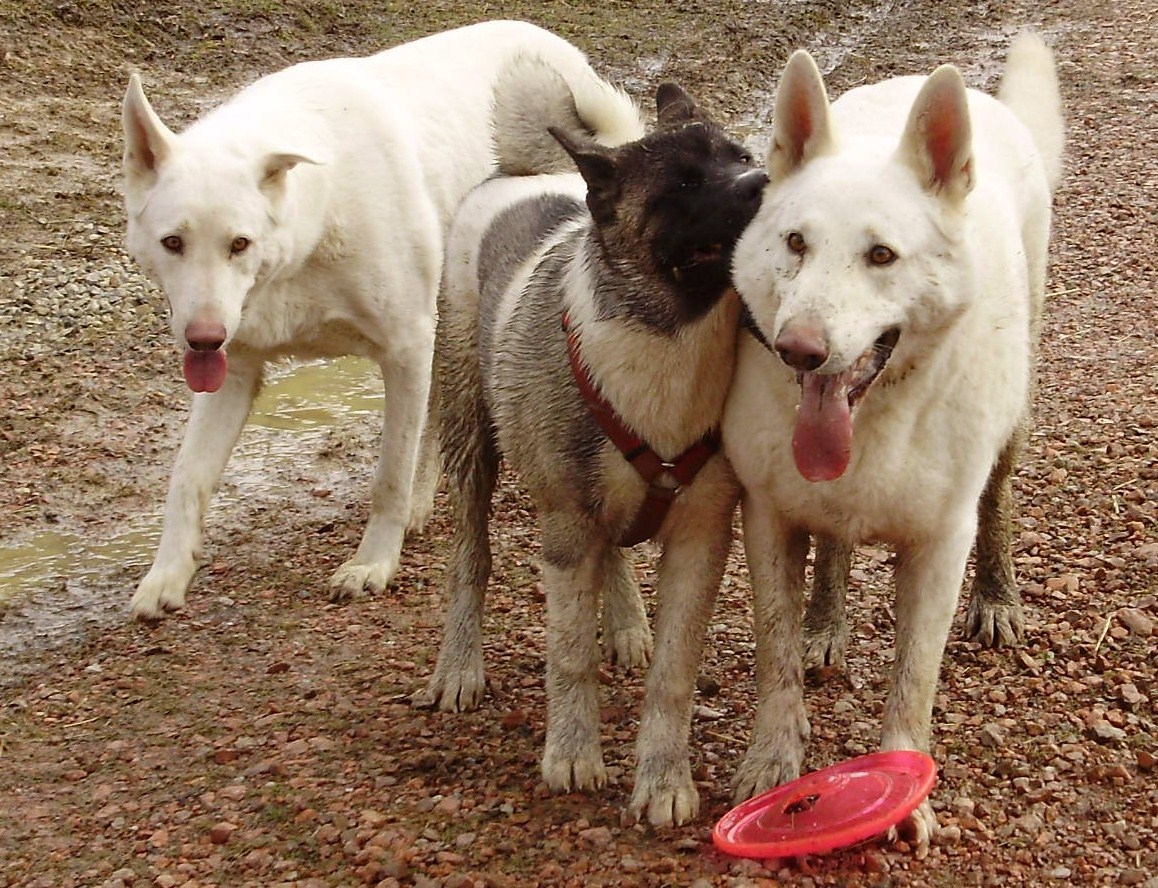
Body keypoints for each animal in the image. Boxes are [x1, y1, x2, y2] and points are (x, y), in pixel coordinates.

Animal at [121, 19, 639, 620]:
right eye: (172, 243)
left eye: (239, 244)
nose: (202, 339)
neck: (311, 224)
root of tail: (549, 40)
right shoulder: (237, 367)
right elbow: (188, 477)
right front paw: (167, 574)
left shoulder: (405, 348)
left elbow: (389, 473)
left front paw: (373, 563)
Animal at [414, 55, 768, 828]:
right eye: (682, 184)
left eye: (741, 156)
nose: (765, 181)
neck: (668, 335)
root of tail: (525, 175)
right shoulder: (567, 529)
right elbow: (569, 656)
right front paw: (573, 755)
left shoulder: (700, 539)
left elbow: (674, 674)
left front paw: (663, 778)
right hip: (471, 445)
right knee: (469, 564)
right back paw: (459, 667)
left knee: (616, 554)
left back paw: (628, 625)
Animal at [727, 32, 1060, 842]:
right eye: (795, 242)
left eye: (881, 255)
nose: (798, 350)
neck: (877, 416)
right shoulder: (768, 516)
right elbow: (776, 652)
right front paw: (773, 758)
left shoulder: (940, 547)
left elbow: (914, 677)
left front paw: (906, 784)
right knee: (834, 547)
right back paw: (826, 621)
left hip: (1014, 419)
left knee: (1001, 503)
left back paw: (998, 596)